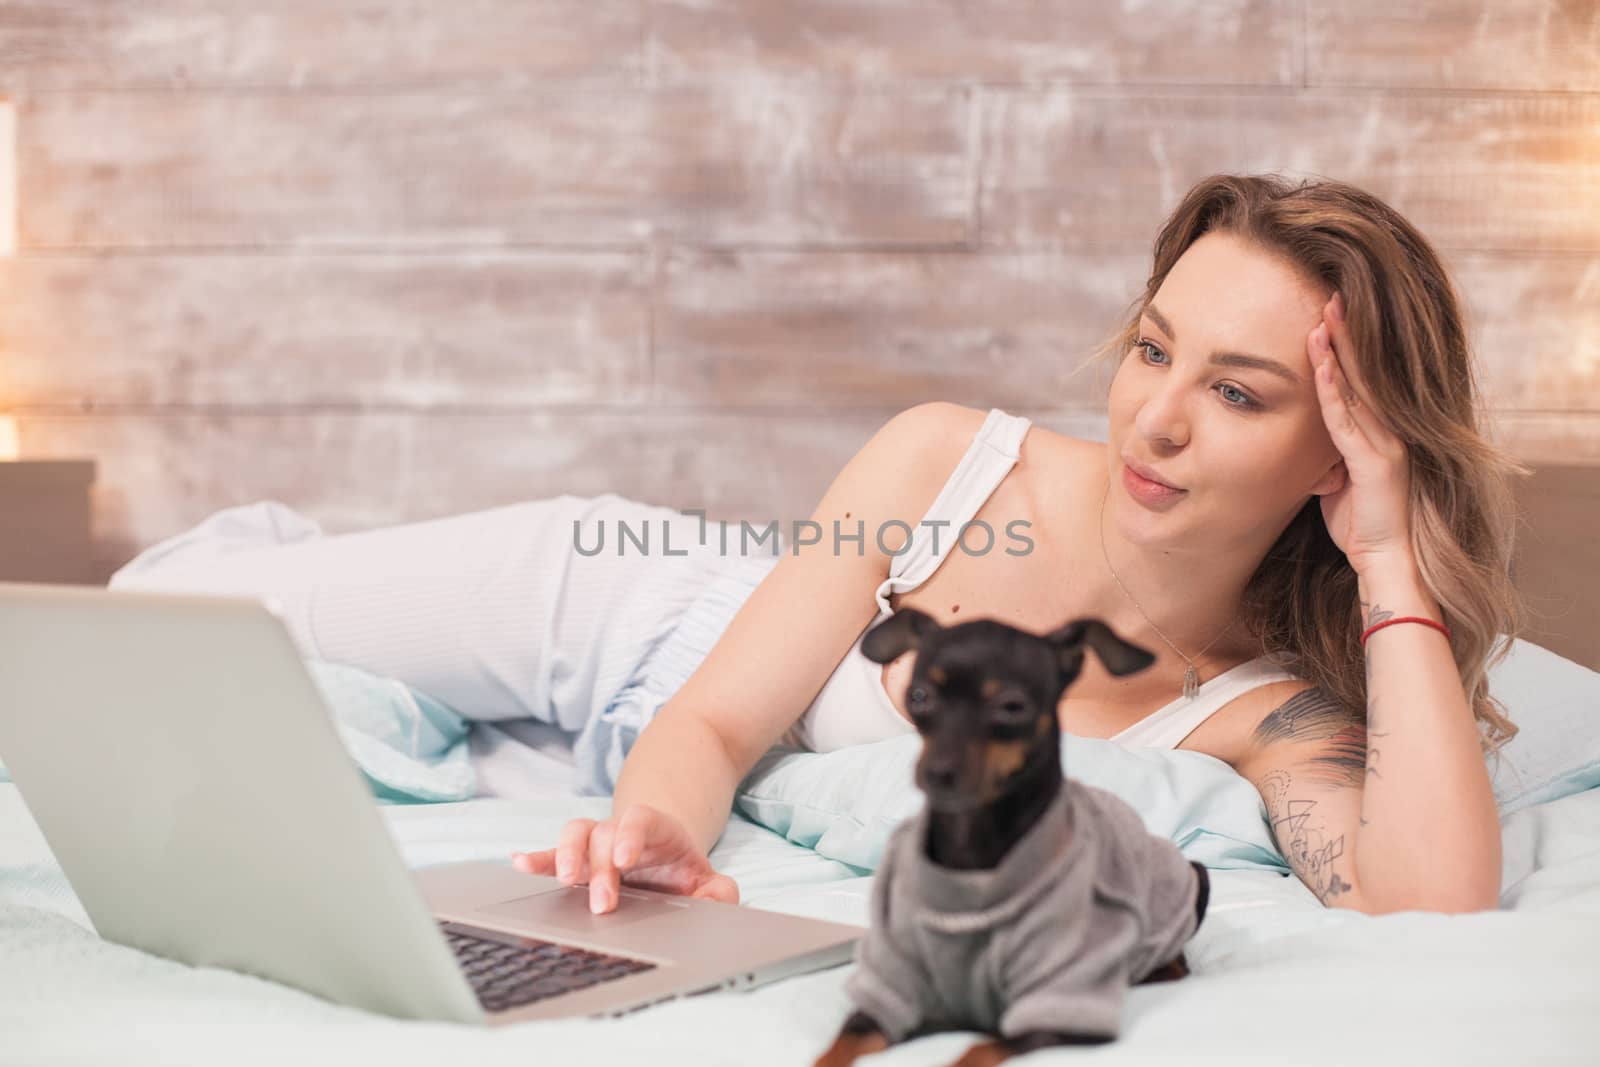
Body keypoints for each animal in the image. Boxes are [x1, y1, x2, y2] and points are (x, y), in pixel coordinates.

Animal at [819, 607, 1203, 1067]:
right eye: (918, 696)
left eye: (1012, 707)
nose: (937, 773)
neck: (971, 849)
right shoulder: (889, 986)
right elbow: (838, 1046)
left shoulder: (1059, 1006)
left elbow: (976, 1052)